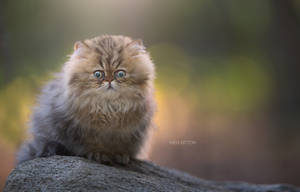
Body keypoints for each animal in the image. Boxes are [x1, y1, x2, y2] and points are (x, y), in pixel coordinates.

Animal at [16, 35, 156, 165]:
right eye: (98, 74)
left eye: (120, 74)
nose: (109, 80)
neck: (109, 107)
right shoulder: (78, 130)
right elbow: (92, 144)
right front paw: (98, 154)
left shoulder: (129, 132)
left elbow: (121, 145)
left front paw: (120, 155)